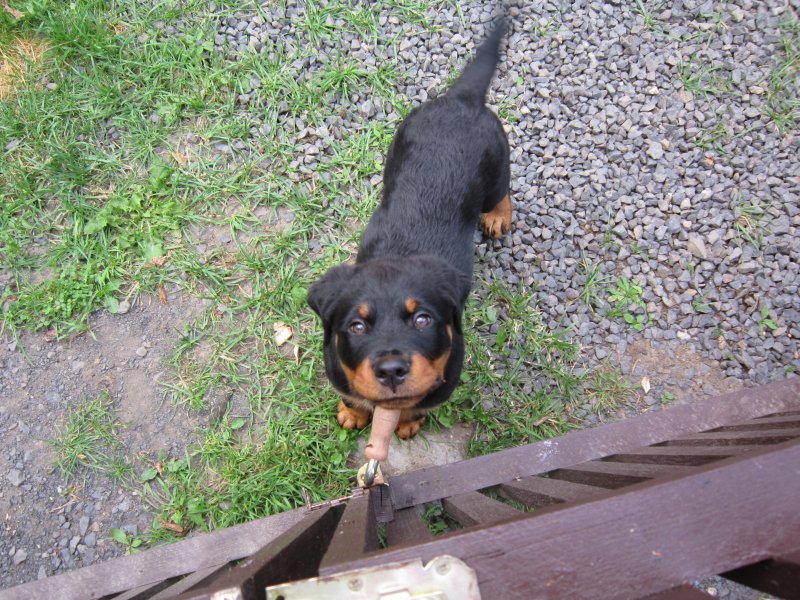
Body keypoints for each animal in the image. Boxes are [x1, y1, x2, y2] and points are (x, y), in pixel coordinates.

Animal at [308, 21, 511, 440]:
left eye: (423, 320)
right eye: (356, 326)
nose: (391, 370)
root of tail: (462, 98)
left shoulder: (444, 380)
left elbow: (416, 404)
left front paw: (407, 423)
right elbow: (354, 393)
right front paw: (352, 412)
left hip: (498, 163)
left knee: (503, 192)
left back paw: (499, 216)